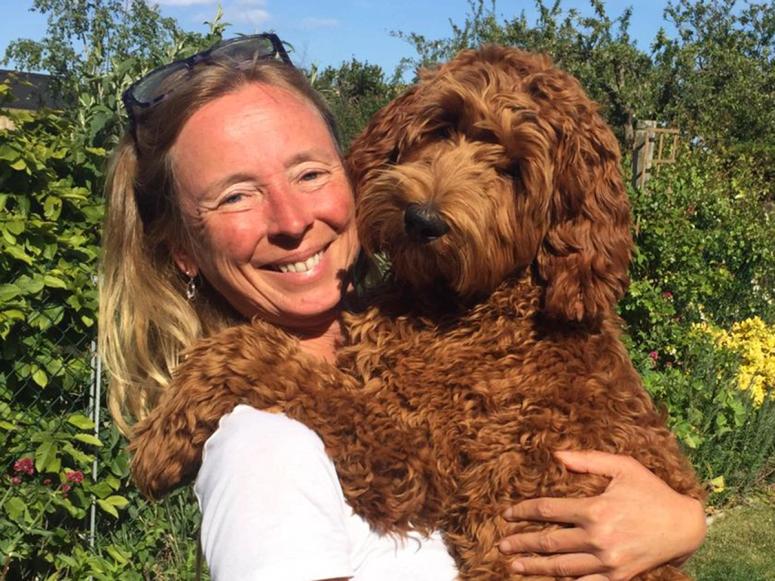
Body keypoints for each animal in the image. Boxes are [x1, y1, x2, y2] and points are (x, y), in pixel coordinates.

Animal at [132, 46, 704, 580]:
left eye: (515, 170)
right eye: (444, 124)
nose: (422, 219)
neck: (470, 308)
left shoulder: (422, 464)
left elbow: (280, 365)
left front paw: (159, 440)